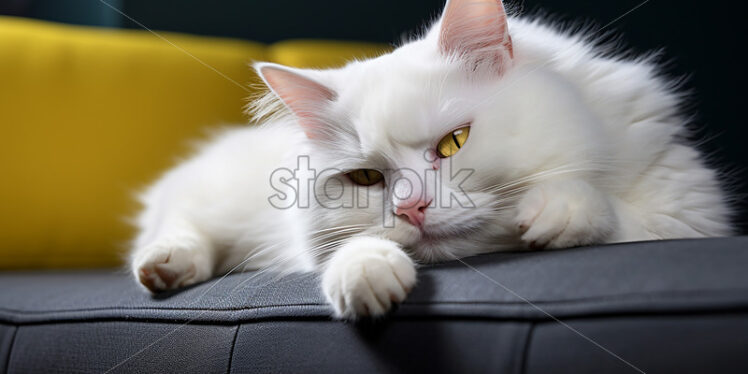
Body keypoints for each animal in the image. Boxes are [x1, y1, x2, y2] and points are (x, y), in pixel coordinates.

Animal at [129, 0, 732, 318]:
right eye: (366, 178)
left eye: (453, 144)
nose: (411, 208)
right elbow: (352, 253)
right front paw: (368, 279)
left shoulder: (689, 214)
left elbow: (609, 212)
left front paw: (555, 213)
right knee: (176, 231)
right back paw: (165, 268)